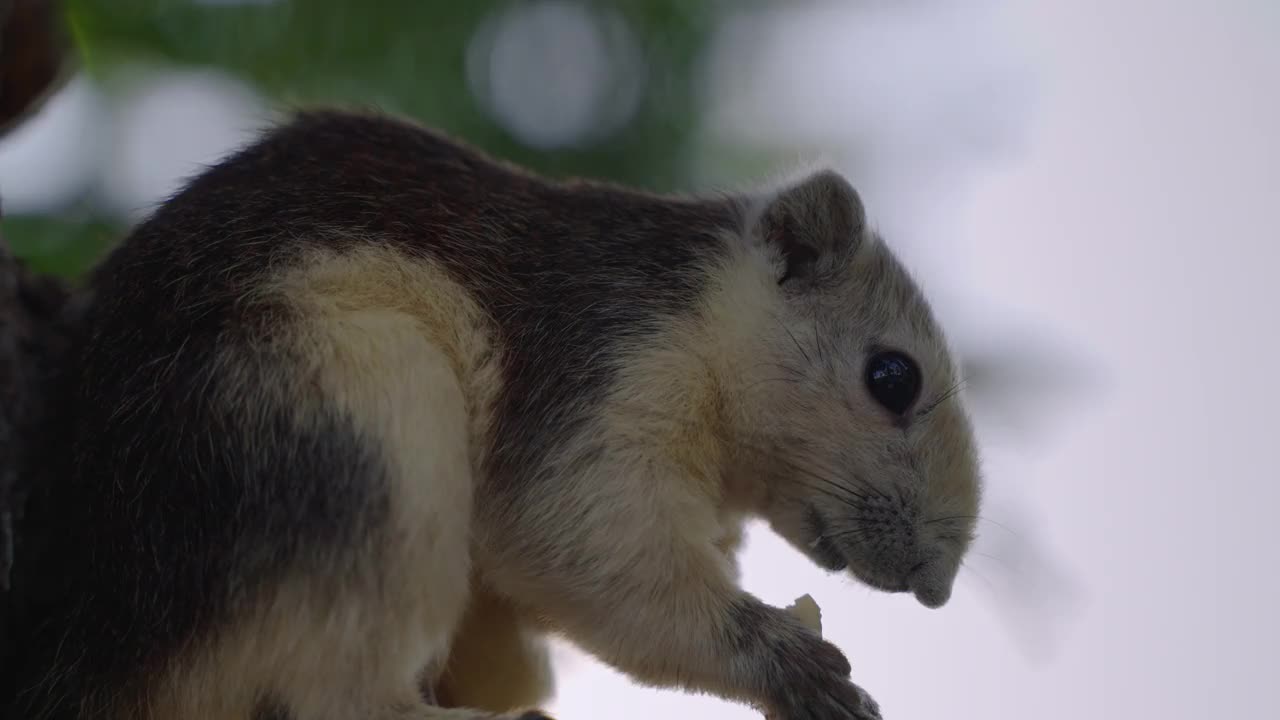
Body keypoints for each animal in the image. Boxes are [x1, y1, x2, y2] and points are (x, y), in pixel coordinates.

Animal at [7, 107, 977, 717]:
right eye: (893, 377)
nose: (937, 587)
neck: (701, 310)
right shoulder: (602, 365)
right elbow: (573, 538)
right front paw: (787, 657)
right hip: (359, 411)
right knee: (332, 703)